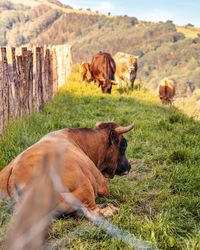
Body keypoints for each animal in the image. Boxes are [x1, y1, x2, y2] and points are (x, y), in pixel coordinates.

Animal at [0, 122, 134, 218]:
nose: (129, 167)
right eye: (124, 145)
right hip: (85, 186)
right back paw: (110, 209)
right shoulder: (100, 182)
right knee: (92, 211)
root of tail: (15, 174)